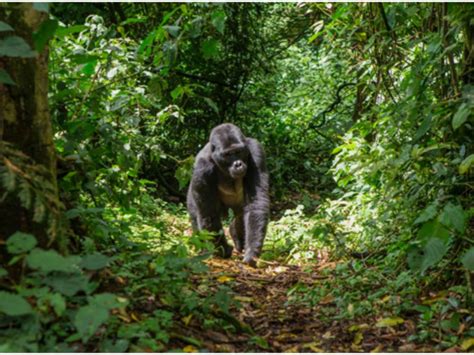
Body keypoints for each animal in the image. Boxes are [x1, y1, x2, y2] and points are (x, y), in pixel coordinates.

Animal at [188, 124, 270, 266]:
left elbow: (256, 203)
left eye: (238, 151)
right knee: (197, 215)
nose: (238, 164)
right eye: (228, 154)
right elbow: (209, 214)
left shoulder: (256, 150)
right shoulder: (202, 168)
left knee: (241, 215)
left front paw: (252, 251)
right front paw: (223, 250)